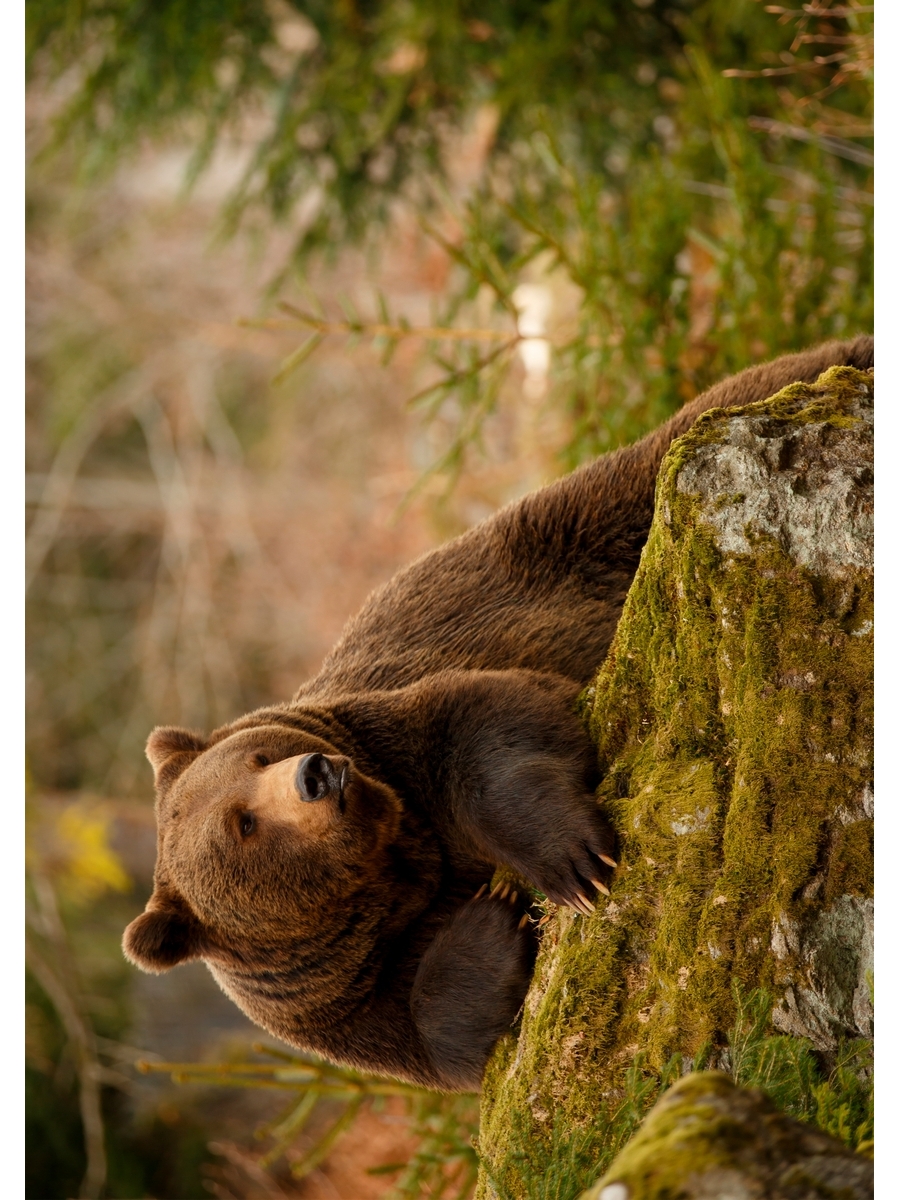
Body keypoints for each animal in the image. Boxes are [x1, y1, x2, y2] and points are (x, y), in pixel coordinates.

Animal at [121, 333, 873, 1094]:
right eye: (242, 824)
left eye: (261, 754)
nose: (316, 775)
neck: (389, 868)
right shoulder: (350, 999)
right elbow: (444, 1038)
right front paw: (495, 916)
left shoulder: (396, 733)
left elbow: (486, 722)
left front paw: (573, 863)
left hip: (579, 525)